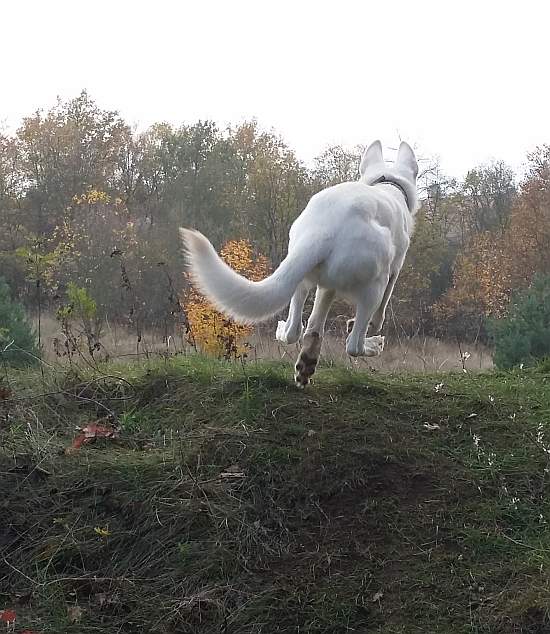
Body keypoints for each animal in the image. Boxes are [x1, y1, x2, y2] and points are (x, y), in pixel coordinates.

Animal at [180, 140, 418, 382]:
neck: (387, 183)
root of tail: (324, 229)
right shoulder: (393, 272)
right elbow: (381, 310)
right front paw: (372, 326)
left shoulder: (326, 287)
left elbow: (314, 321)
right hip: (374, 287)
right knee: (353, 345)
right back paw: (373, 344)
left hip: (300, 278)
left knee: (295, 331)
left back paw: (299, 353)